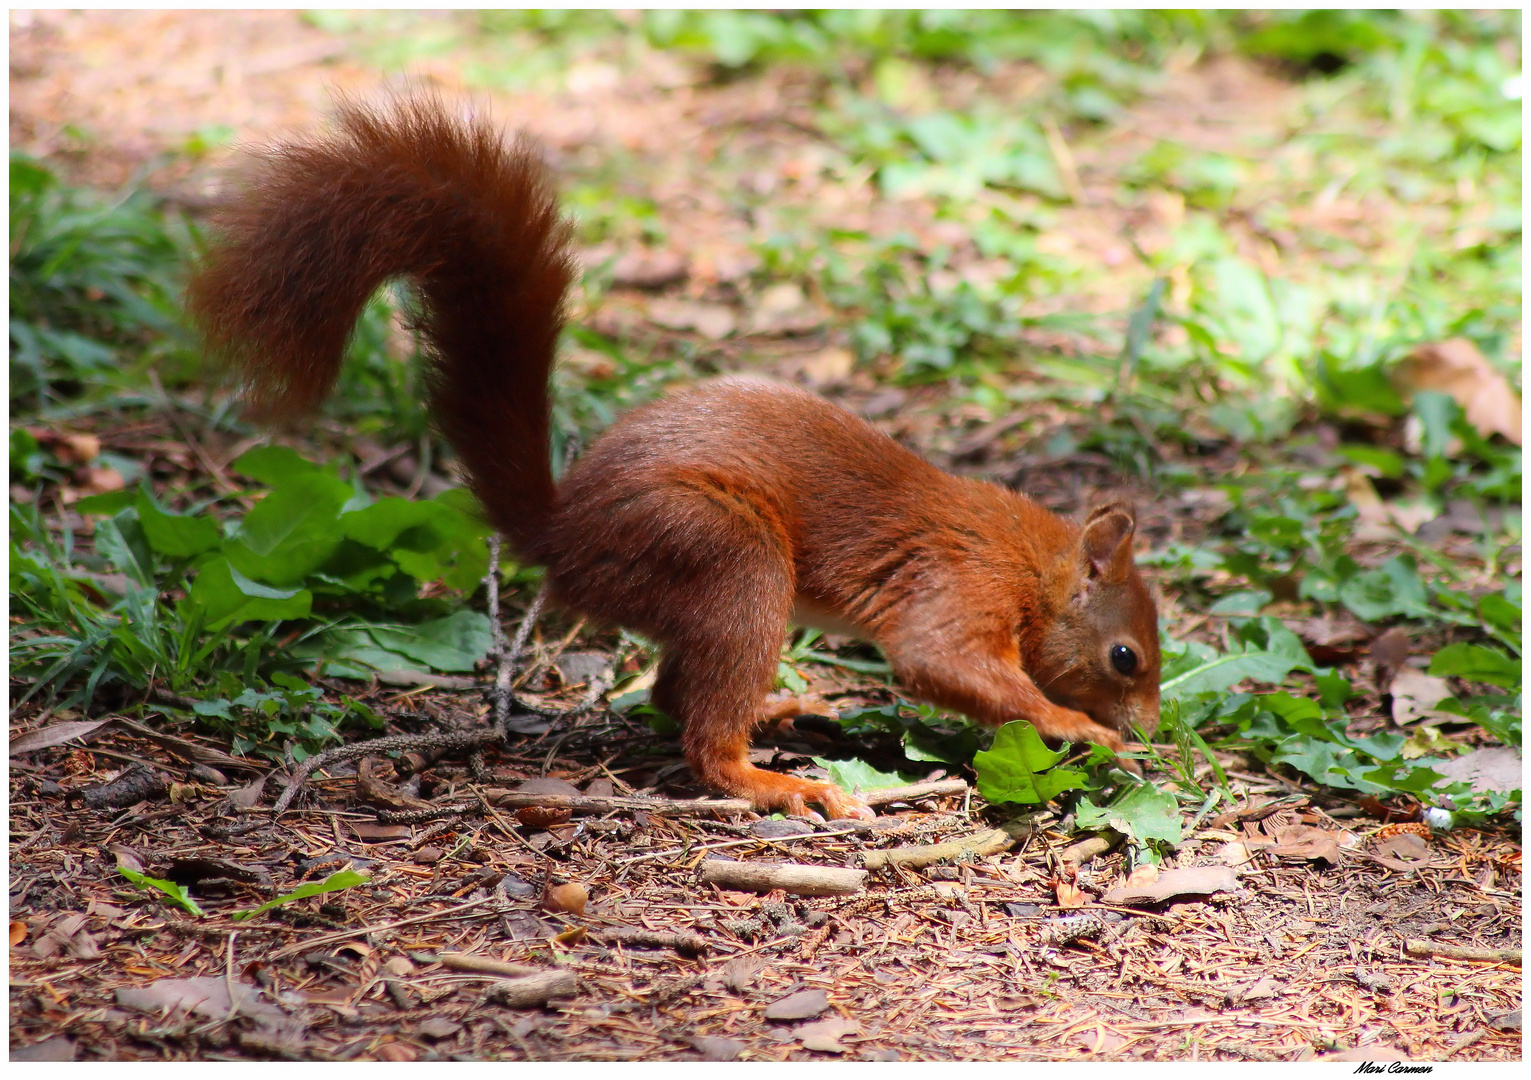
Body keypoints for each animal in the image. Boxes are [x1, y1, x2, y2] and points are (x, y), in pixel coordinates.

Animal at [185, 98, 1157, 814]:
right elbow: (939, 662)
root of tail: (561, 536)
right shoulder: (961, 583)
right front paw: (1075, 727)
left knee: (666, 695)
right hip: (725, 557)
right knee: (700, 735)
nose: (1150, 728)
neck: (1032, 566)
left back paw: (780, 711)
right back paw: (772, 779)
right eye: (1125, 658)